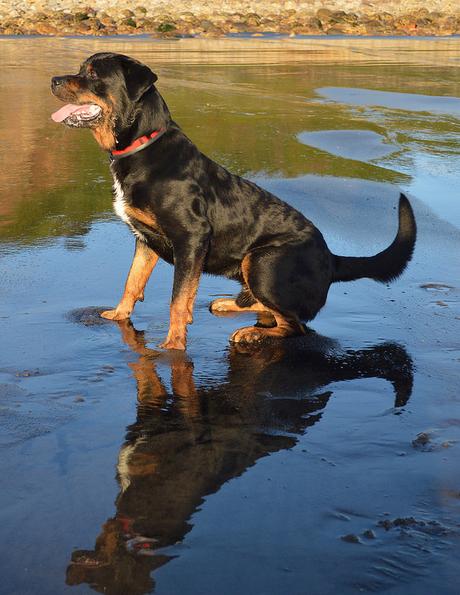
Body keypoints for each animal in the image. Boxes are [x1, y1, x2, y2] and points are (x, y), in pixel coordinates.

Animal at [51, 53, 416, 352]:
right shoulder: (145, 240)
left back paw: (251, 332)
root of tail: (332, 259)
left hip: (263, 261)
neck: (143, 144)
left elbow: (177, 300)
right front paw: (118, 315)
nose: (53, 79)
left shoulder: (191, 238)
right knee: (275, 311)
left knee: (294, 324)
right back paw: (231, 304)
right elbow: (132, 281)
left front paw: (173, 345)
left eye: (93, 74)